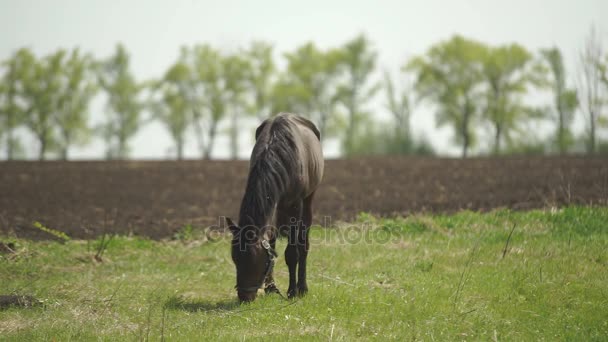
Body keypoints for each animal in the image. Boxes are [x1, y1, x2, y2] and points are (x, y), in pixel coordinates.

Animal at [226, 113, 324, 302]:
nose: (244, 296)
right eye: (235, 259)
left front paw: (292, 291)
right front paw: (271, 288)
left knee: (303, 244)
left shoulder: (295, 205)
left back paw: (302, 287)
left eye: (255, 260)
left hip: (308, 201)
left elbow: (292, 253)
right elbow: (271, 244)